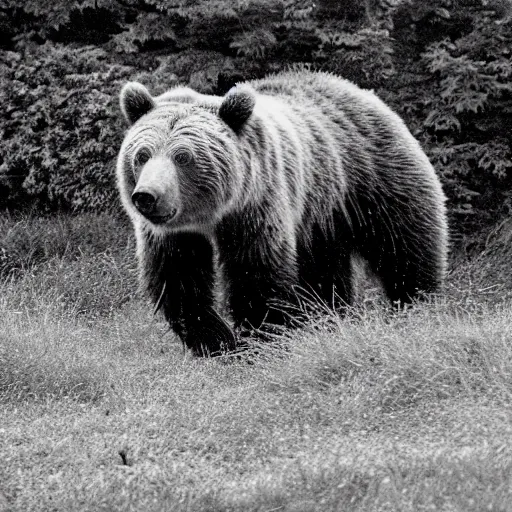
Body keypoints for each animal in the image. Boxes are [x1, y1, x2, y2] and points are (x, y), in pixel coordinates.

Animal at [117, 70, 448, 358]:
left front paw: (260, 342)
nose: (147, 196)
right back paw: (329, 318)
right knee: (323, 272)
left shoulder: (256, 207)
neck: (210, 216)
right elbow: (180, 282)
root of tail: (357, 90)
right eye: (142, 154)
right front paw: (217, 343)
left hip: (370, 179)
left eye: (183, 156)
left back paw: (415, 306)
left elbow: (257, 275)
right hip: (320, 217)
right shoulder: (172, 235)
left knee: (403, 246)